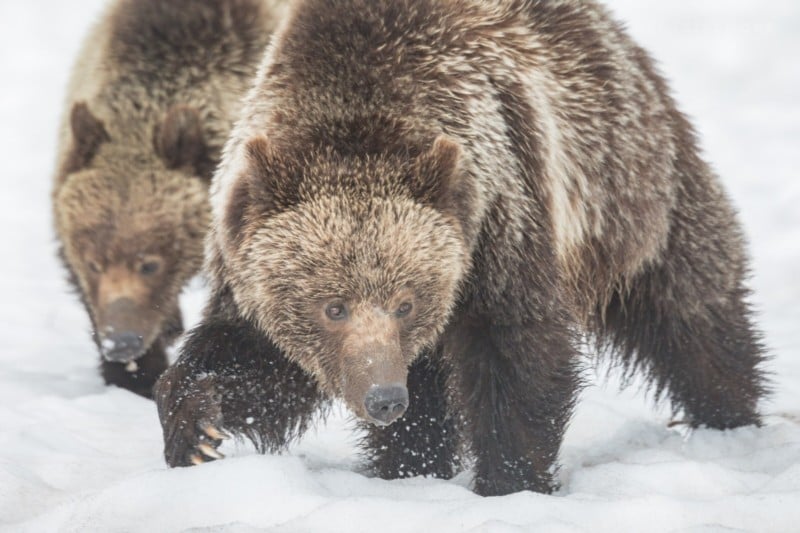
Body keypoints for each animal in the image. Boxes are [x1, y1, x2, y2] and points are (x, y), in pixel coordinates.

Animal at [155, 0, 768, 494]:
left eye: (405, 302)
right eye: (333, 306)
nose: (383, 398)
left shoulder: (504, 220)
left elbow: (520, 356)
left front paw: (511, 481)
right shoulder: (249, 260)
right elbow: (252, 358)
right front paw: (196, 426)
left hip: (631, 186)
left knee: (691, 310)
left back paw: (728, 411)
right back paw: (407, 464)